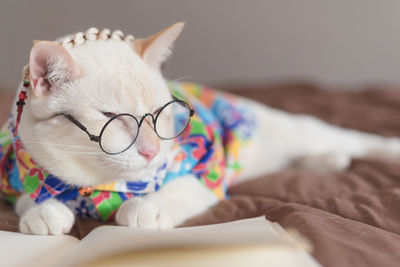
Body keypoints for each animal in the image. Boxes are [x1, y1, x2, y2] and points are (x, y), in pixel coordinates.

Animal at [3, 23, 400, 237]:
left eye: (158, 115)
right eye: (112, 117)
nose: (152, 151)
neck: (100, 187)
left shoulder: (206, 171)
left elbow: (176, 191)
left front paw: (144, 208)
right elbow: (26, 196)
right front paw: (43, 209)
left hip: (296, 131)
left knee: (349, 139)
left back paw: (377, 151)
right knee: (298, 160)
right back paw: (329, 163)